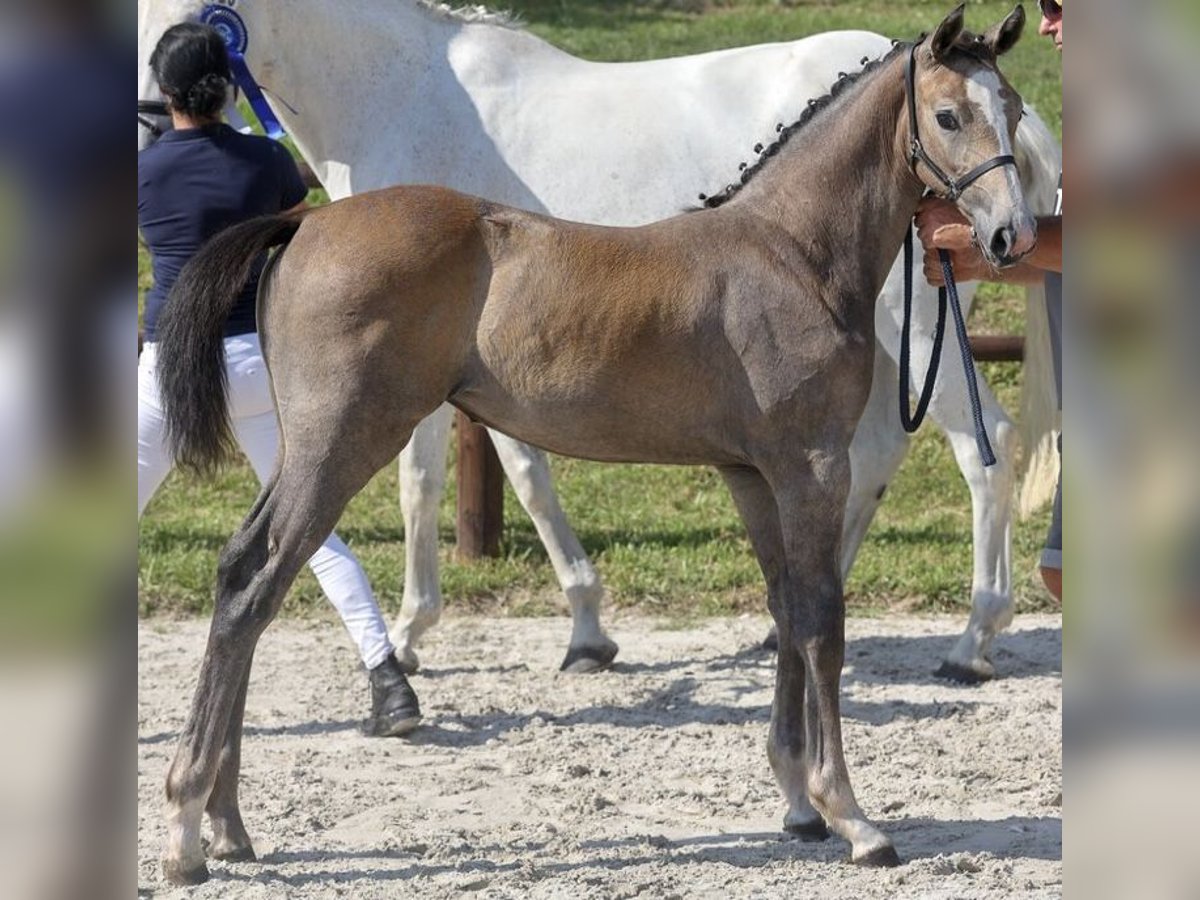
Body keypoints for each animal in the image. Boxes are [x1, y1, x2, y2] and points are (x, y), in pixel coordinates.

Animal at [159, 5, 1036, 883]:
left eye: (1014, 107)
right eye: (948, 115)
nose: (1010, 235)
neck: (793, 253)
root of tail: (304, 221)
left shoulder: (753, 473)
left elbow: (787, 609)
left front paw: (797, 803)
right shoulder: (808, 466)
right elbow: (822, 623)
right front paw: (851, 814)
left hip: (308, 449)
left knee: (242, 573)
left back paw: (227, 824)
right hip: (339, 444)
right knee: (255, 584)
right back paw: (188, 826)